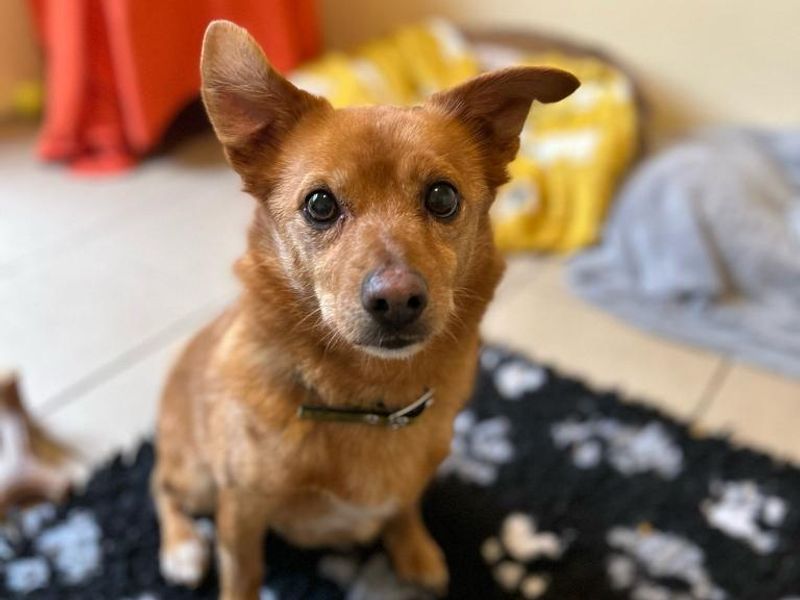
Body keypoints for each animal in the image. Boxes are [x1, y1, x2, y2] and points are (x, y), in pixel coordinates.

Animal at [152, 21, 576, 600]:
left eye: (442, 197)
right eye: (319, 204)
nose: (396, 299)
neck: (369, 402)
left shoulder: (414, 476)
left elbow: (404, 507)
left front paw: (414, 549)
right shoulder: (240, 512)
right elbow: (243, 576)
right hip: (197, 476)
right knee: (160, 485)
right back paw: (181, 548)